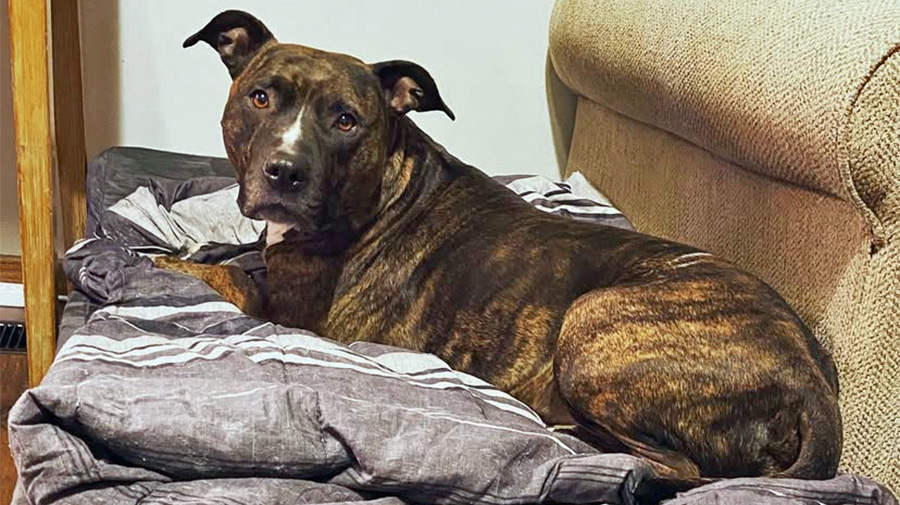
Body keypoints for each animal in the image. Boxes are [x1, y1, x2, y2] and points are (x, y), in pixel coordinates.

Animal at [167, 7, 844, 486]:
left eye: (346, 120)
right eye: (260, 97)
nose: (285, 172)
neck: (382, 186)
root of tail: (811, 383)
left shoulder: (285, 315)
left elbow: (224, 277)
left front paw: (164, 261)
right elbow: (229, 255)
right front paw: (205, 251)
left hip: (594, 320)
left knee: (681, 468)